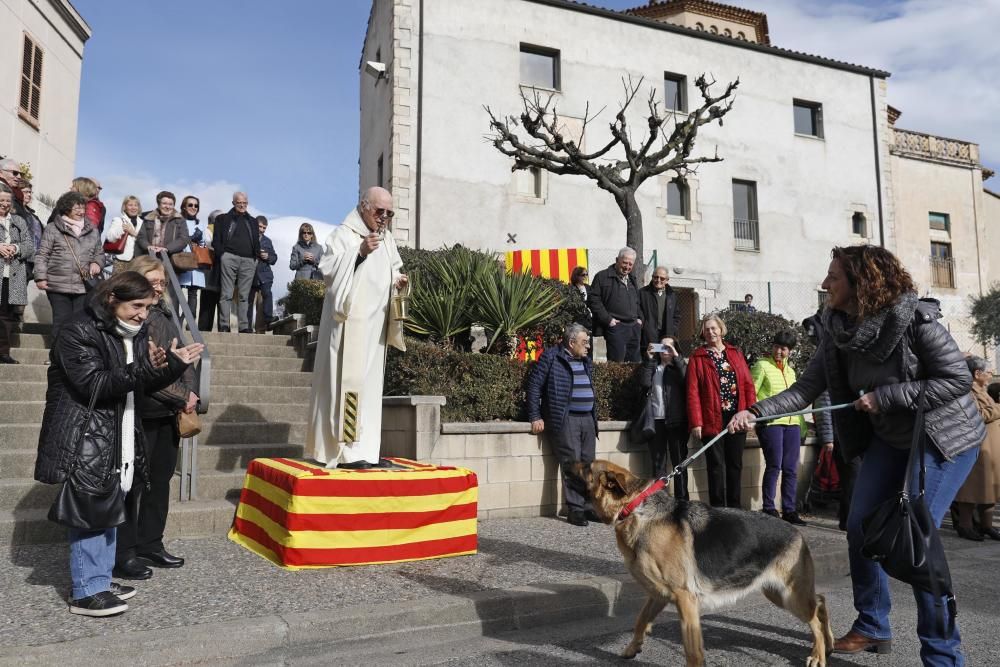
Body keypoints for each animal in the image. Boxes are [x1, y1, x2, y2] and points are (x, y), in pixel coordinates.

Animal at [576, 462, 832, 664]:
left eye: (587, 467)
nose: (569, 460)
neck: (635, 508)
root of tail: (797, 533)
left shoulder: (685, 598)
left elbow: (692, 649)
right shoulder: (659, 595)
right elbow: (641, 620)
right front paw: (632, 647)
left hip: (790, 596)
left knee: (815, 620)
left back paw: (818, 653)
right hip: (777, 592)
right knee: (820, 602)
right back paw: (828, 645)